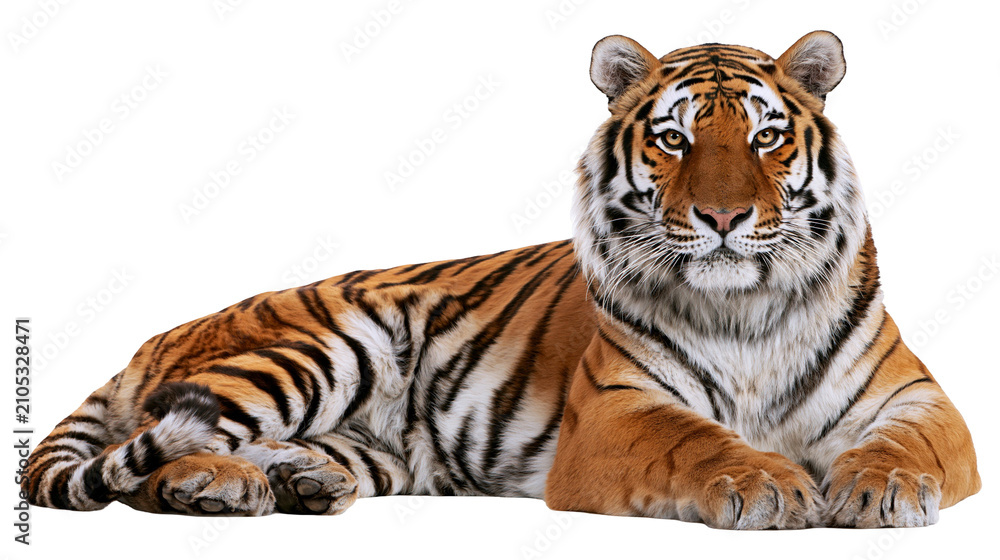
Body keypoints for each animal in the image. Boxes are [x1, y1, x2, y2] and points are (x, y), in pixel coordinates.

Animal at [23, 31, 980, 529]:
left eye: (766, 137)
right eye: (674, 140)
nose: (722, 217)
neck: (745, 305)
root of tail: (152, 336)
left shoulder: (920, 399)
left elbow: (909, 446)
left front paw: (881, 486)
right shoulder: (618, 414)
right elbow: (700, 442)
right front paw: (767, 485)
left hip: (375, 447)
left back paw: (299, 482)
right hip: (313, 348)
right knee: (147, 456)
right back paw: (213, 486)